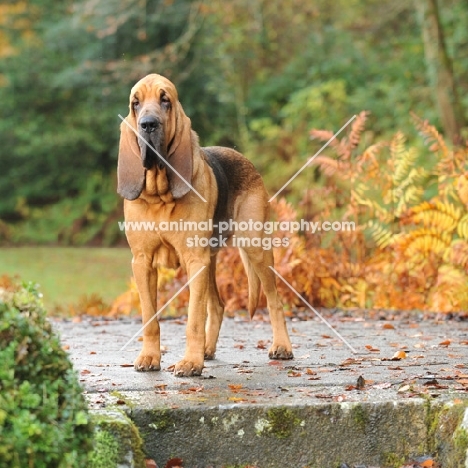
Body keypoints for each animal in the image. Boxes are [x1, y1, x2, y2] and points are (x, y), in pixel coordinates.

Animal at [118, 75, 292, 378]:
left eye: (165, 100)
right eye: (135, 104)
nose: (148, 124)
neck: (160, 196)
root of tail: (242, 157)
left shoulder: (194, 260)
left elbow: (193, 319)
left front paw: (190, 362)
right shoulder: (143, 262)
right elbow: (150, 317)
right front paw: (150, 357)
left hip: (255, 249)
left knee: (273, 300)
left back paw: (281, 346)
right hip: (210, 261)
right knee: (218, 305)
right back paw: (207, 350)